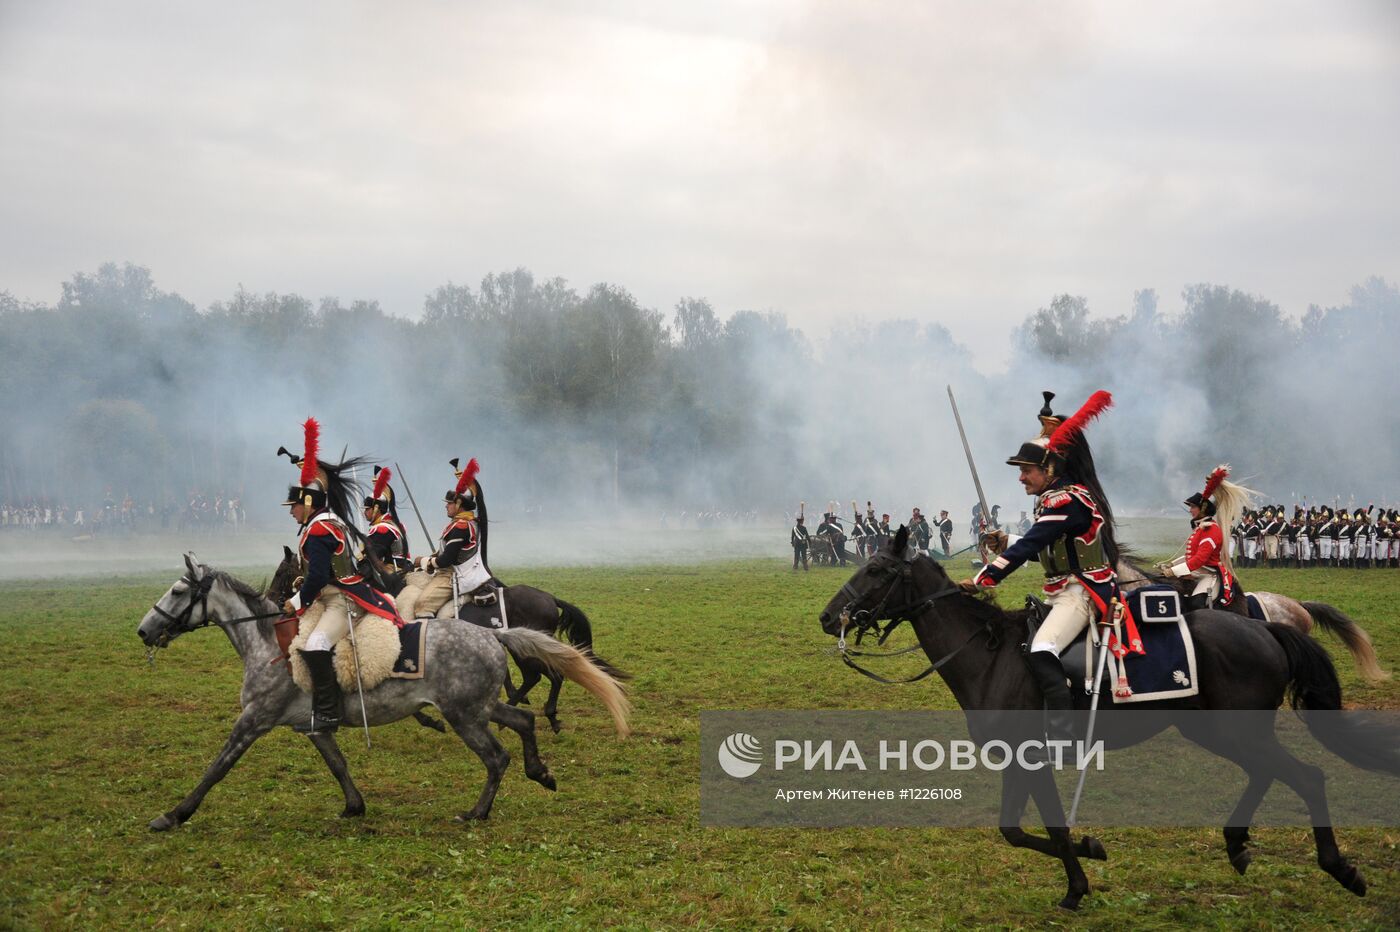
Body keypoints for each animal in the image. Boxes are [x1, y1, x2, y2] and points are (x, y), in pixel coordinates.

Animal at [136, 551, 630, 828]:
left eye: (178, 590)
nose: (144, 630)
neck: (270, 644)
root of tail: (493, 636)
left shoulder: (253, 721)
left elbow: (217, 768)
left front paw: (174, 815)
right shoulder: (313, 726)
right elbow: (338, 765)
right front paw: (354, 807)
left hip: (466, 717)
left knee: (497, 756)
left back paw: (477, 813)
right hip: (477, 707)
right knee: (522, 717)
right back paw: (541, 771)